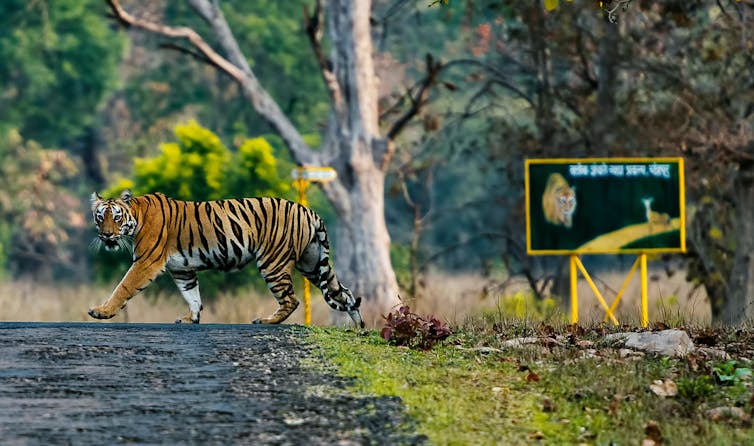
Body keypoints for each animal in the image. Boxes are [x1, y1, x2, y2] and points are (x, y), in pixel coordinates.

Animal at [88, 189, 364, 328]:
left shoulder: (147, 262)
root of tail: (308, 210)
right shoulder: (182, 270)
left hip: (273, 263)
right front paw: (191, 319)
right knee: (344, 293)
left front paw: (101, 311)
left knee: (291, 299)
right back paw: (359, 326)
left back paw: (266, 320)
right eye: (100, 217)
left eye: (116, 217)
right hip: (312, 263)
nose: (106, 235)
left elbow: (123, 287)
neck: (136, 217)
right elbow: (192, 295)